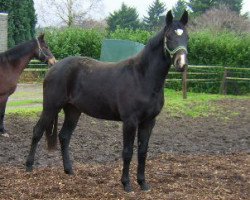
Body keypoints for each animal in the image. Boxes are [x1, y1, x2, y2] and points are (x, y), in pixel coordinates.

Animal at [26, 10, 188, 192]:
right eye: (169, 36)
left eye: (187, 36)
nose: (181, 63)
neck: (142, 77)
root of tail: (53, 67)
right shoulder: (130, 121)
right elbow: (127, 152)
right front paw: (126, 184)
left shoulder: (149, 121)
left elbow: (143, 151)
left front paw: (143, 183)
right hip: (51, 107)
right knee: (37, 131)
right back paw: (29, 166)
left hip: (73, 110)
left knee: (64, 136)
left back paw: (69, 170)